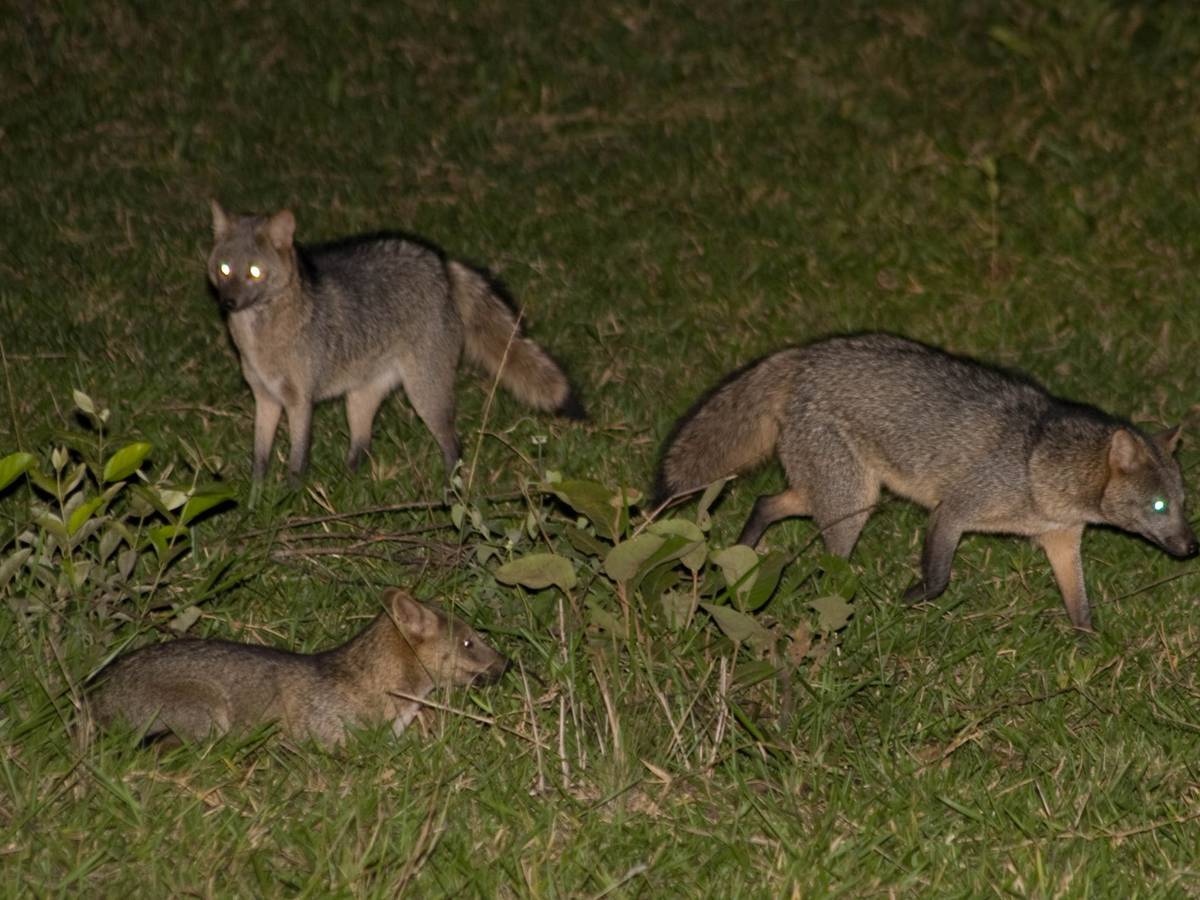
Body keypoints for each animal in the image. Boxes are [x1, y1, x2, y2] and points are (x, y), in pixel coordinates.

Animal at [207, 202, 584, 484]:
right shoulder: (265, 398)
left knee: (453, 446)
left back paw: (450, 492)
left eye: (255, 273)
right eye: (224, 269)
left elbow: (297, 461)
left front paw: (290, 499)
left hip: (424, 394)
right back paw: (347, 486)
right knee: (362, 447)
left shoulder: (300, 401)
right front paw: (257, 499)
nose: (228, 303)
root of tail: (441, 261)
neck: (260, 339)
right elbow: (259, 458)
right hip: (359, 398)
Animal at [654, 333, 1198, 631]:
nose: (1193, 547)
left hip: (836, 496)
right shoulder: (952, 512)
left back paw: (743, 554)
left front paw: (1092, 647)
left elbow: (1080, 607)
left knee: (765, 501)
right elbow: (938, 579)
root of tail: (806, 354)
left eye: (1183, 504)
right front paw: (904, 602)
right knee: (825, 558)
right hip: (851, 504)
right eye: (1157, 507)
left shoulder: (1060, 540)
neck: (1037, 464)